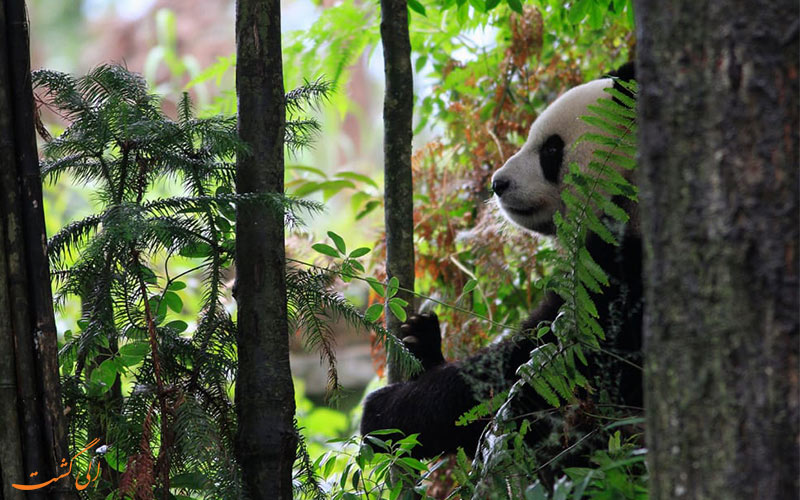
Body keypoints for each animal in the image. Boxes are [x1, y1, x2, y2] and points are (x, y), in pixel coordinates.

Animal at [362, 64, 644, 466]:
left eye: (551, 149)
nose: (499, 183)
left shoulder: (622, 285)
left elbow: (529, 377)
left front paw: (386, 414)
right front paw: (421, 340)